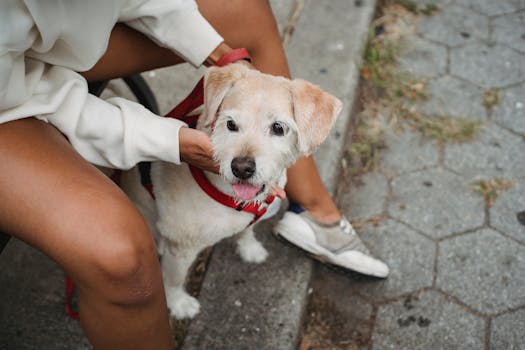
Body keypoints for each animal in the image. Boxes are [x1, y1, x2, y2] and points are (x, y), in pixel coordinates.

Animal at [119, 61, 340, 318]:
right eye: (231, 124)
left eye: (278, 127)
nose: (242, 168)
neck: (235, 199)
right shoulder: (181, 248)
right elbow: (173, 281)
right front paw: (178, 304)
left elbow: (247, 231)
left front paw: (250, 249)